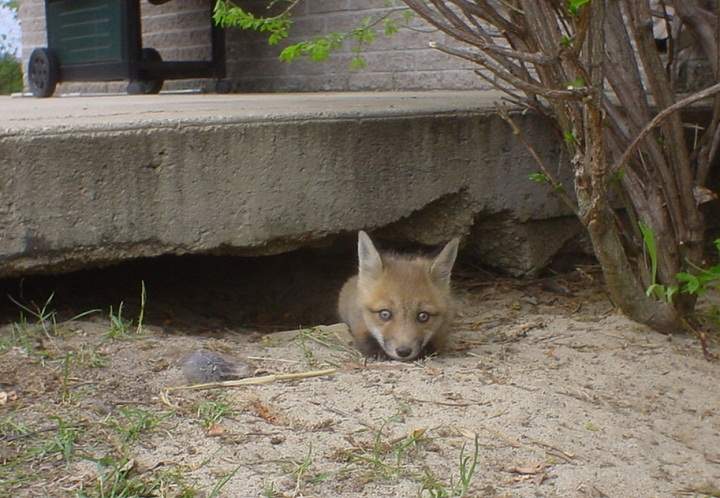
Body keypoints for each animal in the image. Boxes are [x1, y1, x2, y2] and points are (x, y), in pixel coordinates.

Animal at [337, 231, 460, 361]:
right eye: (385, 314)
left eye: (423, 316)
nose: (403, 351)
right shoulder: (358, 319)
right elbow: (364, 338)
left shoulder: (444, 324)